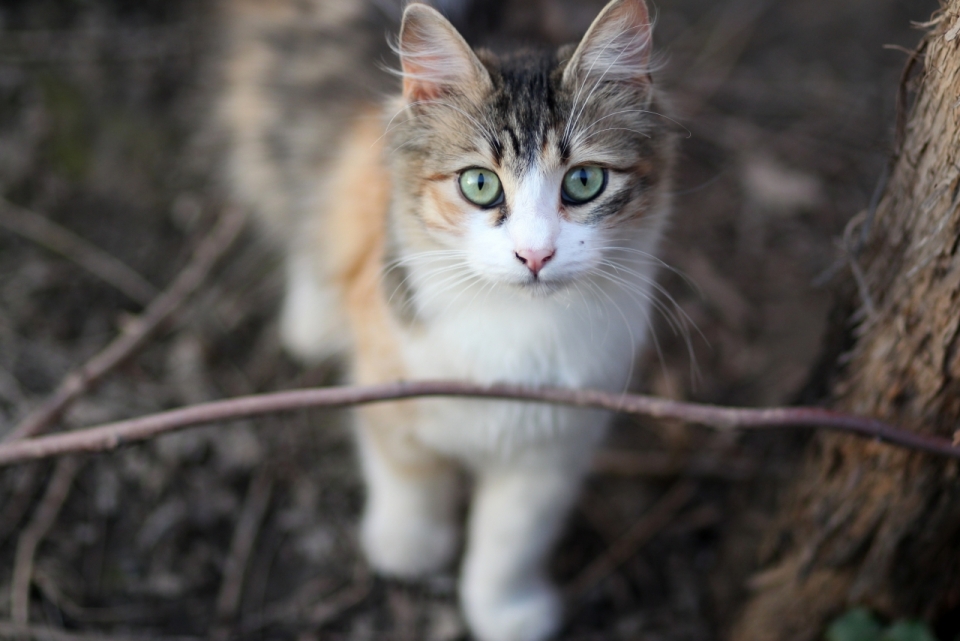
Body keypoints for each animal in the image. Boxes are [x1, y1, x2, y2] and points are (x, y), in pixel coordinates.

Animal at [222, 1, 680, 640]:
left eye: (584, 181)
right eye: (480, 184)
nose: (535, 255)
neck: (516, 331)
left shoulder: (554, 448)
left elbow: (511, 542)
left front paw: (506, 613)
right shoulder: (392, 388)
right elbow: (409, 480)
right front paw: (408, 552)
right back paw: (313, 319)